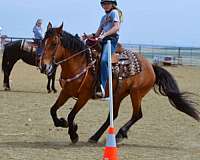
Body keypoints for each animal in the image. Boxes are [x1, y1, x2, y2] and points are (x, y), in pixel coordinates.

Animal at [39, 23, 199, 144]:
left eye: (54, 43)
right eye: (42, 42)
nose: (44, 66)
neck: (80, 62)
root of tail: (151, 66)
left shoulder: (84, 96)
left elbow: (71, 115)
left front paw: (74, 133)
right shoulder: (66, 92)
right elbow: (53, 110)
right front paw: (63, 123)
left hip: (136, 94)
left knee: (137, 114)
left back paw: (119, 134)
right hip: (119, 94)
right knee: (113, 115)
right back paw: (95, 137)